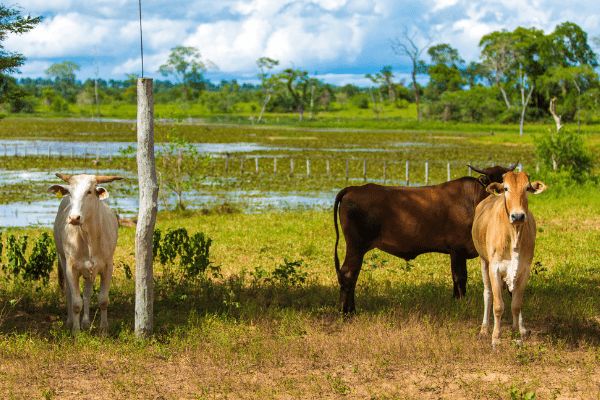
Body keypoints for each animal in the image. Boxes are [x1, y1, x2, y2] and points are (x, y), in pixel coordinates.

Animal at [48, 172, 123, 334]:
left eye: (89, 192)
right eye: (70, 192)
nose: (74, 218)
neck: (89, 238)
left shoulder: (108, 266)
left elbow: (102, 300)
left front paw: (103, 329)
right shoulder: (71, 268)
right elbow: (76, 302)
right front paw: (76, 331)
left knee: (87, 294)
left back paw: (86, 322)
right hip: (62, 260)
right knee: (70, 294)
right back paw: (70, 321)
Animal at [330, 162, 516, 312]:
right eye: (495, 185)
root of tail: (354, 188)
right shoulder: (457, 250)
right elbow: (459, 277)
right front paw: (460, 303)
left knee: (352, 274)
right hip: (356, 245)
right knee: (348, 273)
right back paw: (346, 311)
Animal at [472, 170, 548, 346]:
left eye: (527, 188)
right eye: (506, 188)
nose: (518, 216)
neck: (514, 234)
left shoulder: (524, 269)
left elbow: (516, 304)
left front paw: (517, 333)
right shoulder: (494, 267)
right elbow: (498, 305)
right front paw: (495, 338)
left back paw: (521, 328)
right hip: (484, 262)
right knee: (488, 293)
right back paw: (484, 329)